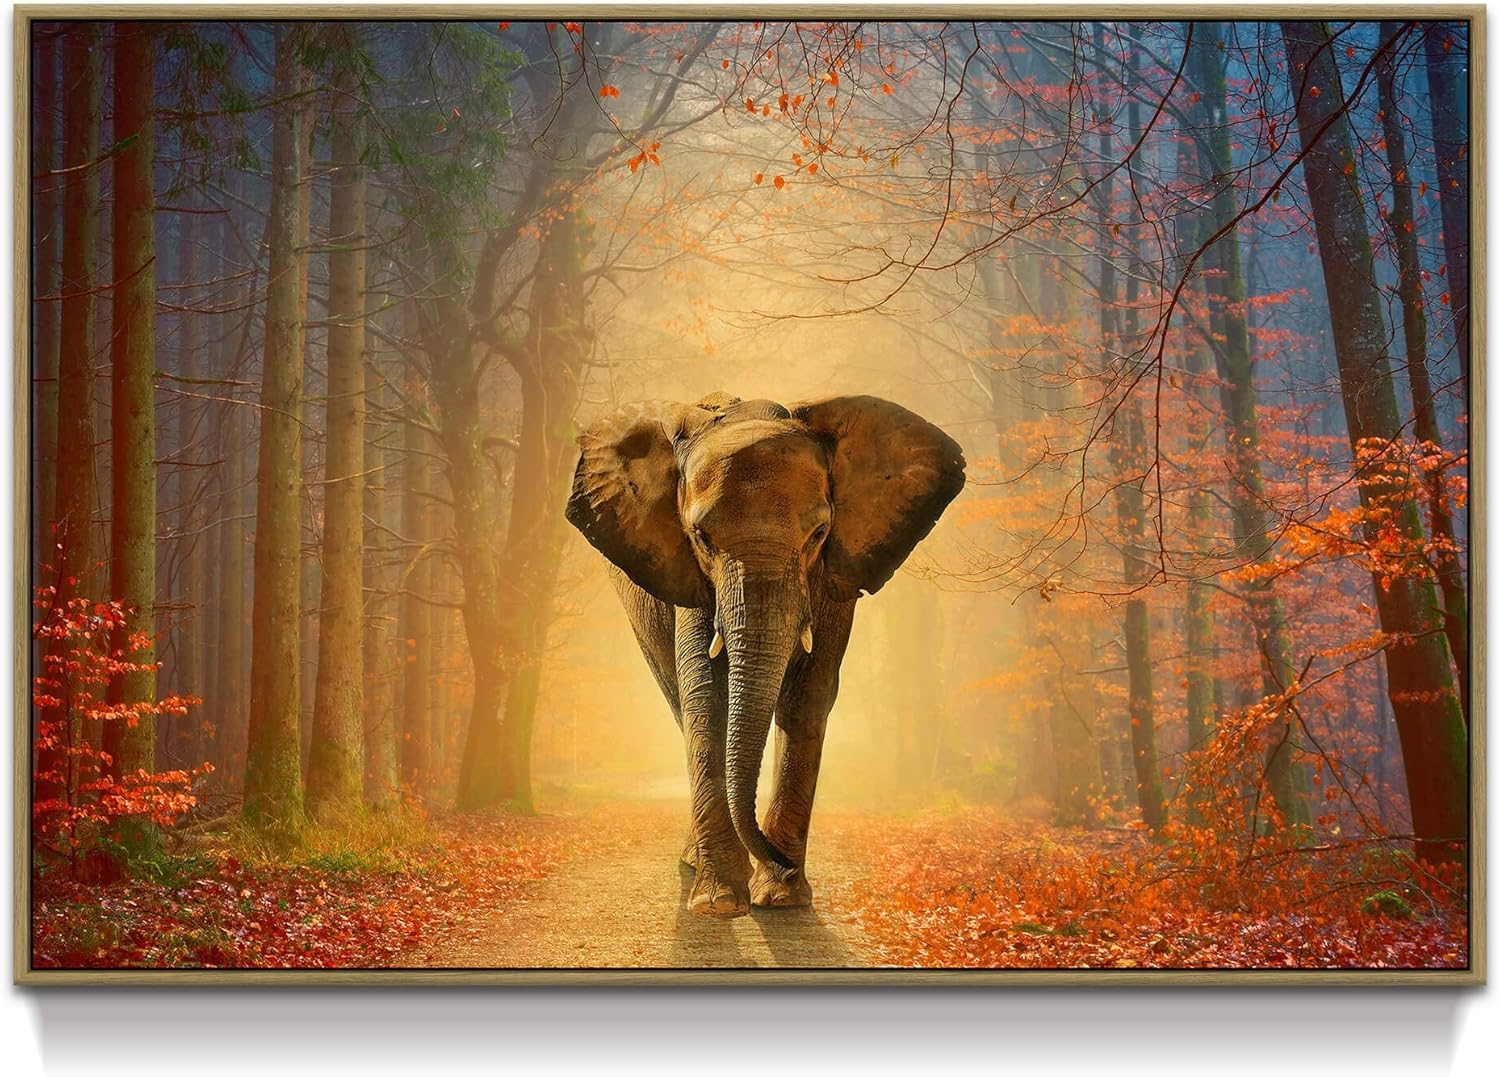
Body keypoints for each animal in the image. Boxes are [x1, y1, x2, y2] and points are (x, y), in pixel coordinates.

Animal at [565, 393, 965, 918]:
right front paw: (719, 903)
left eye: (819, 533)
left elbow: (808, 694)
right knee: (678, 702)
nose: (780, 861)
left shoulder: (834, 575)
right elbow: (705, 695)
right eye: (701, 537)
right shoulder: (691, 577)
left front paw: (781, 897)